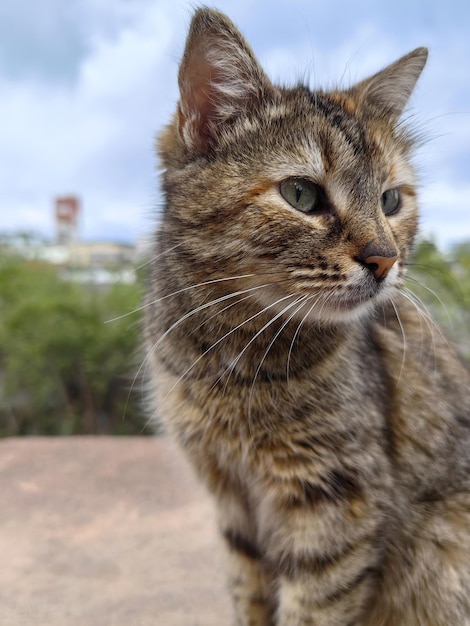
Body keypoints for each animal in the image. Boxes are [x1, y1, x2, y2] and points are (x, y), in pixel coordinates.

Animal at [145, 6, 470, 624]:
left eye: (391, 200)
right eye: (301, 194)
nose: (385, 259)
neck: (231, 363)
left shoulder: (336, 506)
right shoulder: (233, 504)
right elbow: (249, 596)